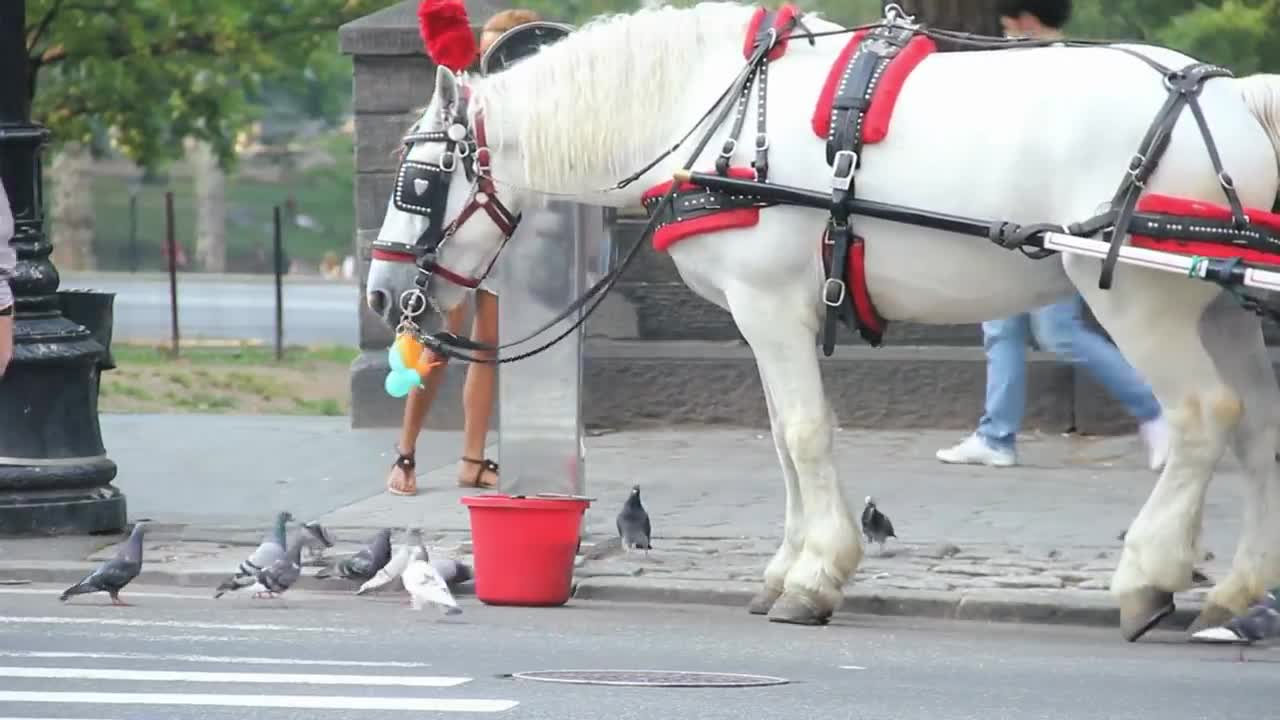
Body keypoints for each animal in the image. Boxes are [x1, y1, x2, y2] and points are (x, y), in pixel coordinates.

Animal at [366, 1, 1280, 638]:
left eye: (419, 179)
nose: (380, 295)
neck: (712, 115)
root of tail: (1232, 96)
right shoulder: (767, 316)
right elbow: (781, 438)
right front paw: (787, 567)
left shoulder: (769, 306)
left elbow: (804, 433)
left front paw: (812, 580)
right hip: (1217, 306)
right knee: (1257, 428)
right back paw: (1236, 589)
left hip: (1135, 297)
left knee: (1203, 415)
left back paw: (1148, 575)